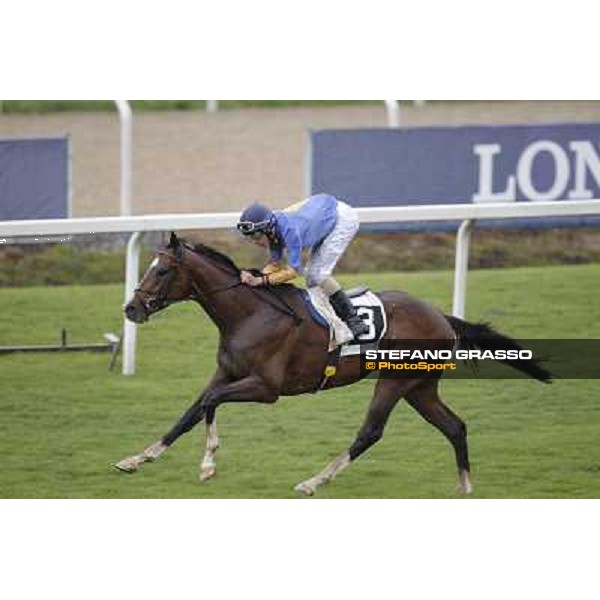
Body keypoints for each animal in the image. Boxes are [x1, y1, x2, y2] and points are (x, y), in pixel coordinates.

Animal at [115, 232, 552, 494]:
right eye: (150, 267)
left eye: (163, 270)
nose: (132, 308)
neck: (250, 314)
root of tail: (442, 316)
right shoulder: (227, 373)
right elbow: (191, 411)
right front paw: (137, 458)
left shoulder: (266, 388)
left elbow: (209, 403)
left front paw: (207, 464)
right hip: (420, 387)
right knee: (455, 426)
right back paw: (465, 487)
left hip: (395, 382)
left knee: (371, 432)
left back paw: (314, 480)